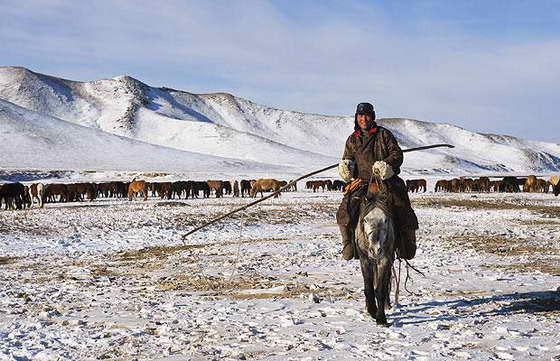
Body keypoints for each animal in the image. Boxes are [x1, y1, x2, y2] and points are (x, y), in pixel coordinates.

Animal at [356, 181, 396, 324]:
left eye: (385, 220)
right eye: (365, 220)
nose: (375, 250)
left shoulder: (384, 259)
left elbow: (380, 289)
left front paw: (381, 318)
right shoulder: (364, 259)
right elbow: (368, 288)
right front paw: (372, 310)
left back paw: (386, 304)